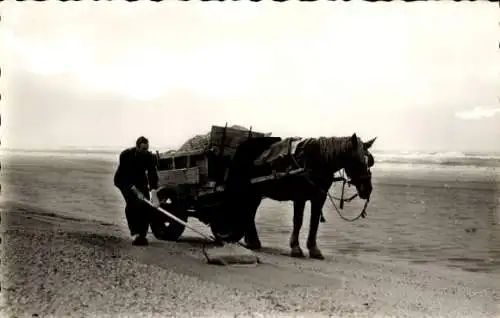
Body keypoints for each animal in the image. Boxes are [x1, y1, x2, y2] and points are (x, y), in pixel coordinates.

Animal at [219, 133, 376, 260]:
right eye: (356, 159)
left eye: (370, 161)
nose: (367, 189)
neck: (316, 161)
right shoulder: (300, 197)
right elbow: (298, 221)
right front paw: (295, 248)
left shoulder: (319, 197)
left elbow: (314, 223)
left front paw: (314, 249)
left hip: (256, 193)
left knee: (249, 213)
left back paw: (253, 242)